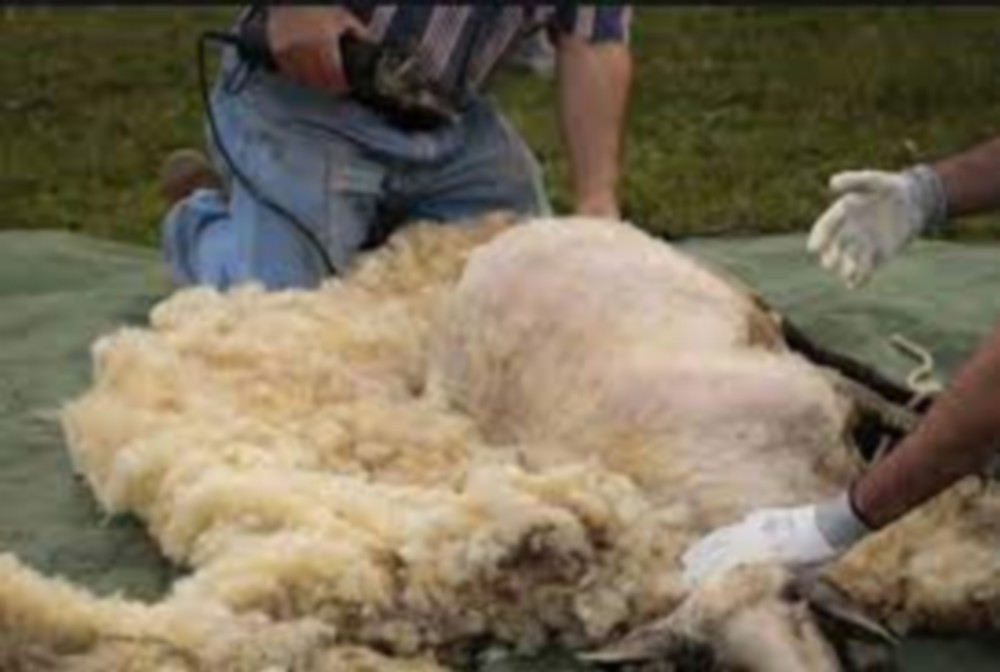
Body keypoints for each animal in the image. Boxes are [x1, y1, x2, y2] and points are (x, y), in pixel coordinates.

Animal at [0, 214, 995, 670]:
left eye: (797, 604)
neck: (726, 493)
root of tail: (508, 235)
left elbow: (891, 418)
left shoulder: (819, 401)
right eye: (704, 658)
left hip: (734, 302)